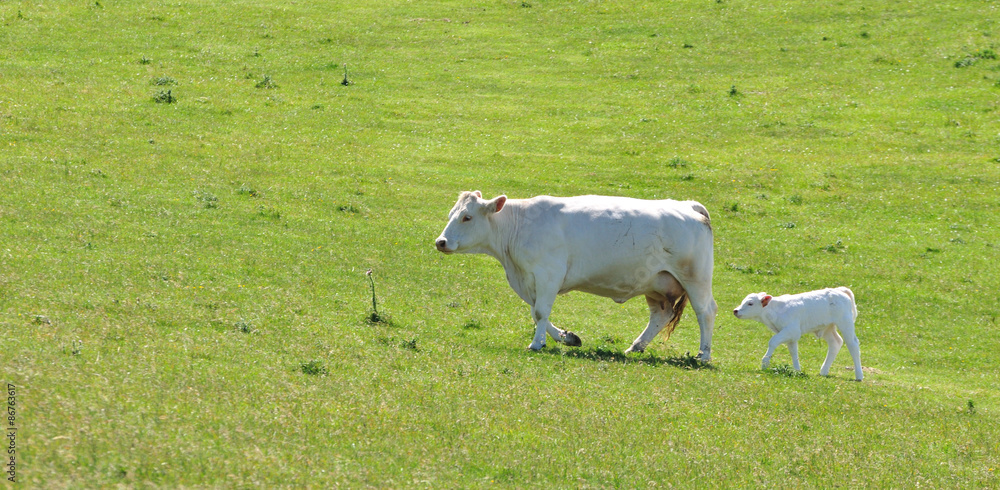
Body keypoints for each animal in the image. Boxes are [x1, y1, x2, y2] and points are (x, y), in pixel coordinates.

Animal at [435, 191, 718, 361]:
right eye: (451, 215)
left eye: (467, 217)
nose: (441, 242)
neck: (521, 224)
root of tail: (688, 205)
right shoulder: (530, 279)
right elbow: (536, 312)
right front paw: (566, 337)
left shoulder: (549, 274)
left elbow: (540, 312)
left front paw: (536, 343)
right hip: (656, 283)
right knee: (661, 314)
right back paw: (636, 346)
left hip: (695, 278)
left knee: (705, 312)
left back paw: (704, 354)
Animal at [733, 287, 863, 381]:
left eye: (750, 303)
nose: (736, 310)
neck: (777, 310)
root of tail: (839, 290)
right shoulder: (791, 336)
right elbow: (793, 352)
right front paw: (797, 371)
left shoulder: (791, 330)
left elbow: (773, 341)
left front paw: (765, 363)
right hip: (828, 328)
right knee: (835, 343)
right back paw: (823, 371)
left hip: (845, 323)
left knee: (853, 345)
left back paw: (859, 376)